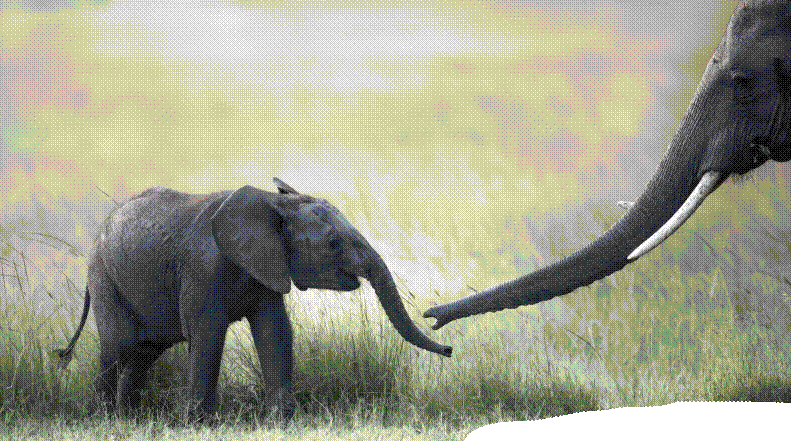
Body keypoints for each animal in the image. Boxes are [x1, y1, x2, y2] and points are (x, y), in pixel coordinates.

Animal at [57, 178, 451, 422]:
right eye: (333, 244)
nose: (447, 348)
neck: (274, 203)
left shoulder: (268, 266)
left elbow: (274, 333)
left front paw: (283, 422)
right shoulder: (204, 270)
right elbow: (208, 337)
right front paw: (200, 425)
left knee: (144, 351)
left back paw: (132, 420)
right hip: (104, 277)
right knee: (119, 345)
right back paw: (105, 419)